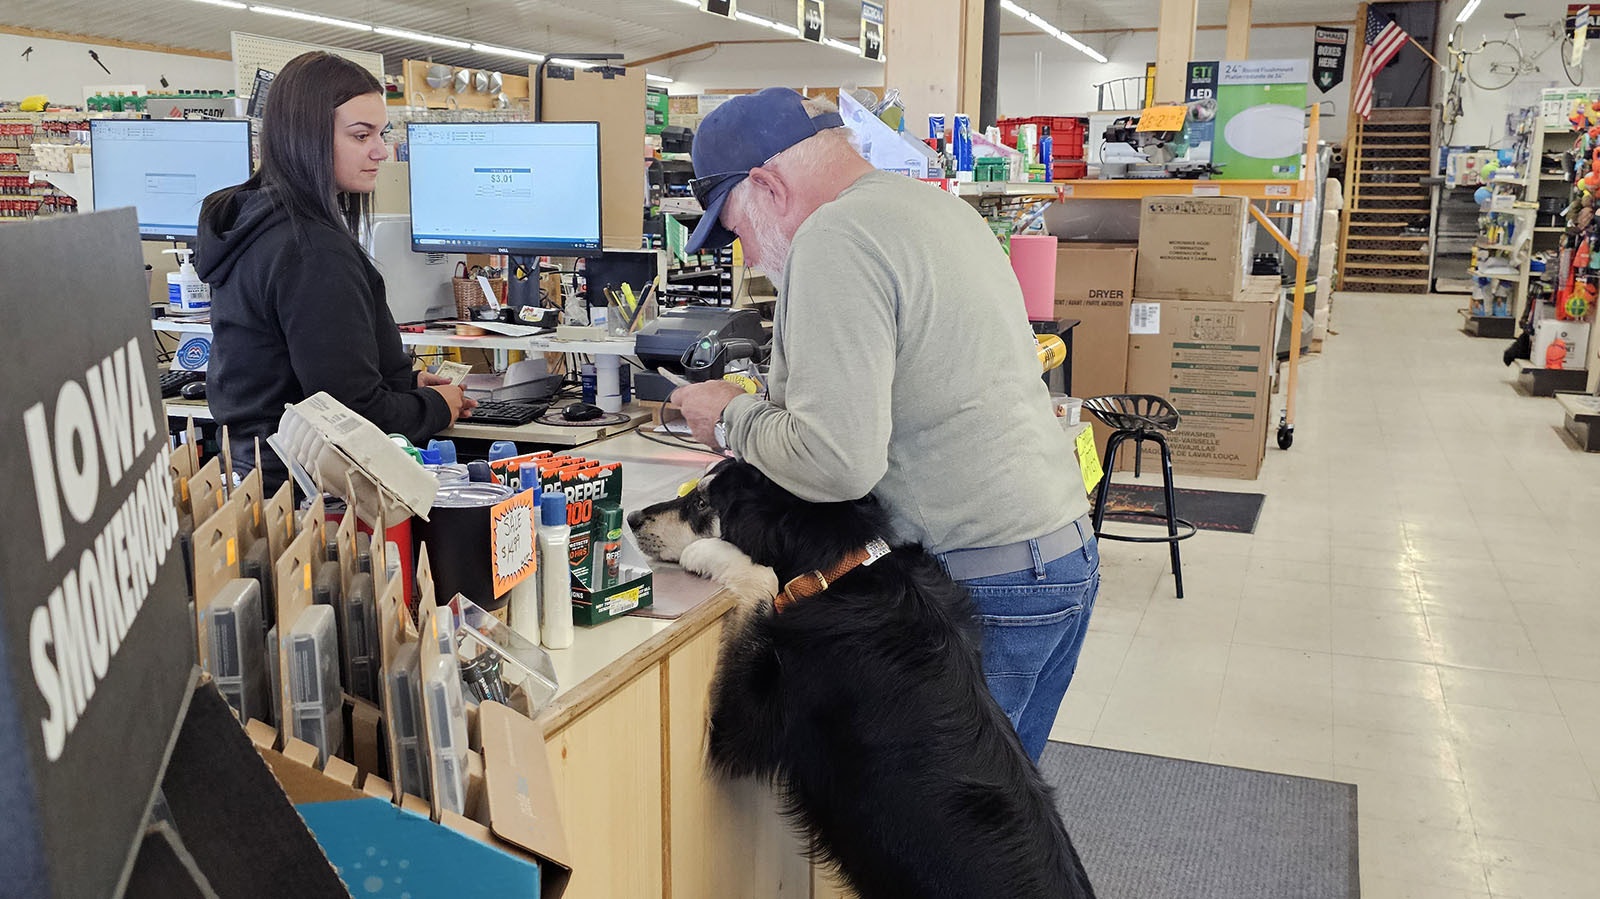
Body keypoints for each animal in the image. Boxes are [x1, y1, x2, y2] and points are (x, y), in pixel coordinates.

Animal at [630, 460, 1094, 895]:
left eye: (701, 503)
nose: (633, 517)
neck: (838, 571)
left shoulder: (745, 727)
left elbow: (761, 578)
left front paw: (708, 552)